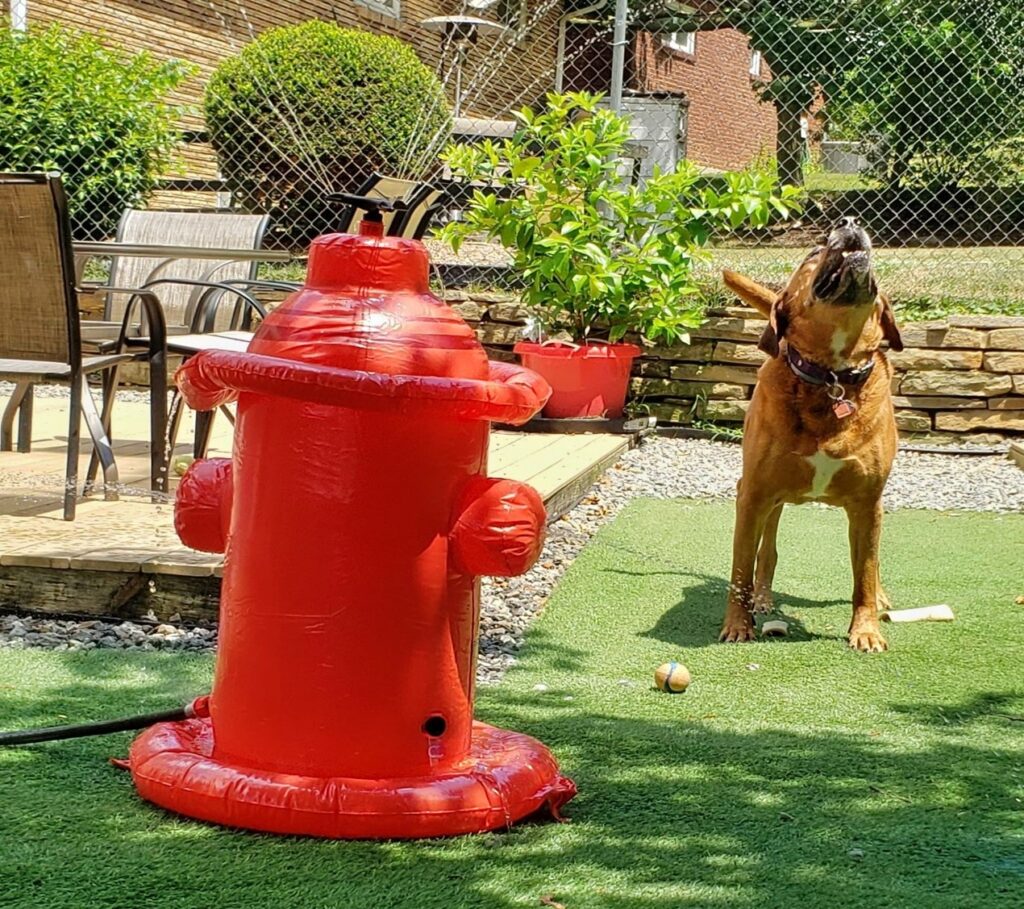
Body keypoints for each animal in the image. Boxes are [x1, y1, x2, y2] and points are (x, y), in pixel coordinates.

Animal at [719, 217, 903, 653]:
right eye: (813, 253)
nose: (851, 222)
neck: (832, 376)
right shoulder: (752, 493)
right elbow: (740, 569)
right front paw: (737, 625)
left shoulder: (867, 502)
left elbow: (864, 573)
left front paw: (866, 630)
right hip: (771, 499)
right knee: (766, 551)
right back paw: (763, 598)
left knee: (872, 561)